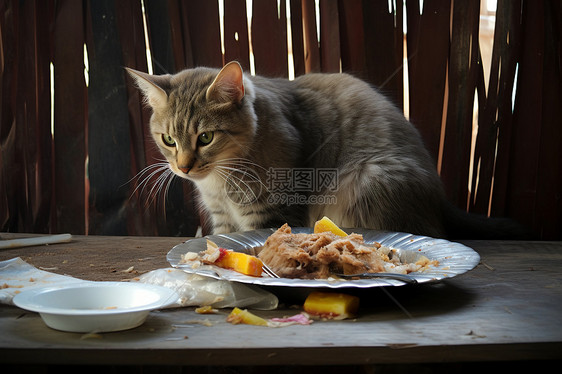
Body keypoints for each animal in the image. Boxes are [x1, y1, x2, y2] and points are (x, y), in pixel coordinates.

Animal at [127, 60, 520, 238]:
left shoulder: (271, 212)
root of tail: (440, 199)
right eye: (169, 140)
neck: (221, 180)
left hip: (368, 177)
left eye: (206, 137)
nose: (183, 167)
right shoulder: (222, 217)